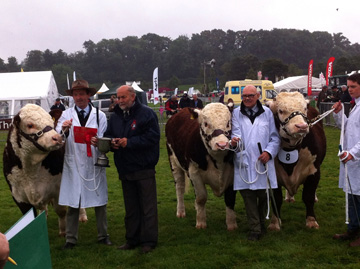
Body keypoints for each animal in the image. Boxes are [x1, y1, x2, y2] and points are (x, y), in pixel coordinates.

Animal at [2, 103, 86, 233]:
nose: (58, 138)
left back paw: (82, 216)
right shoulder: (18, 196)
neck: (30, 169)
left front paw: (63, 231)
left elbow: (61, 210)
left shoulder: (58, 189)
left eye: (52, 123)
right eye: (30, 125)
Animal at [264, 92, 326, 230]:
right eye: (280, 111)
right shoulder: (272, 175)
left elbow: (308, 196)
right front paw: (275, 223)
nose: (301, 126)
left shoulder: (314, 171)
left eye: (304, 108)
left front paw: (311, 221)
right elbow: (276, 198)